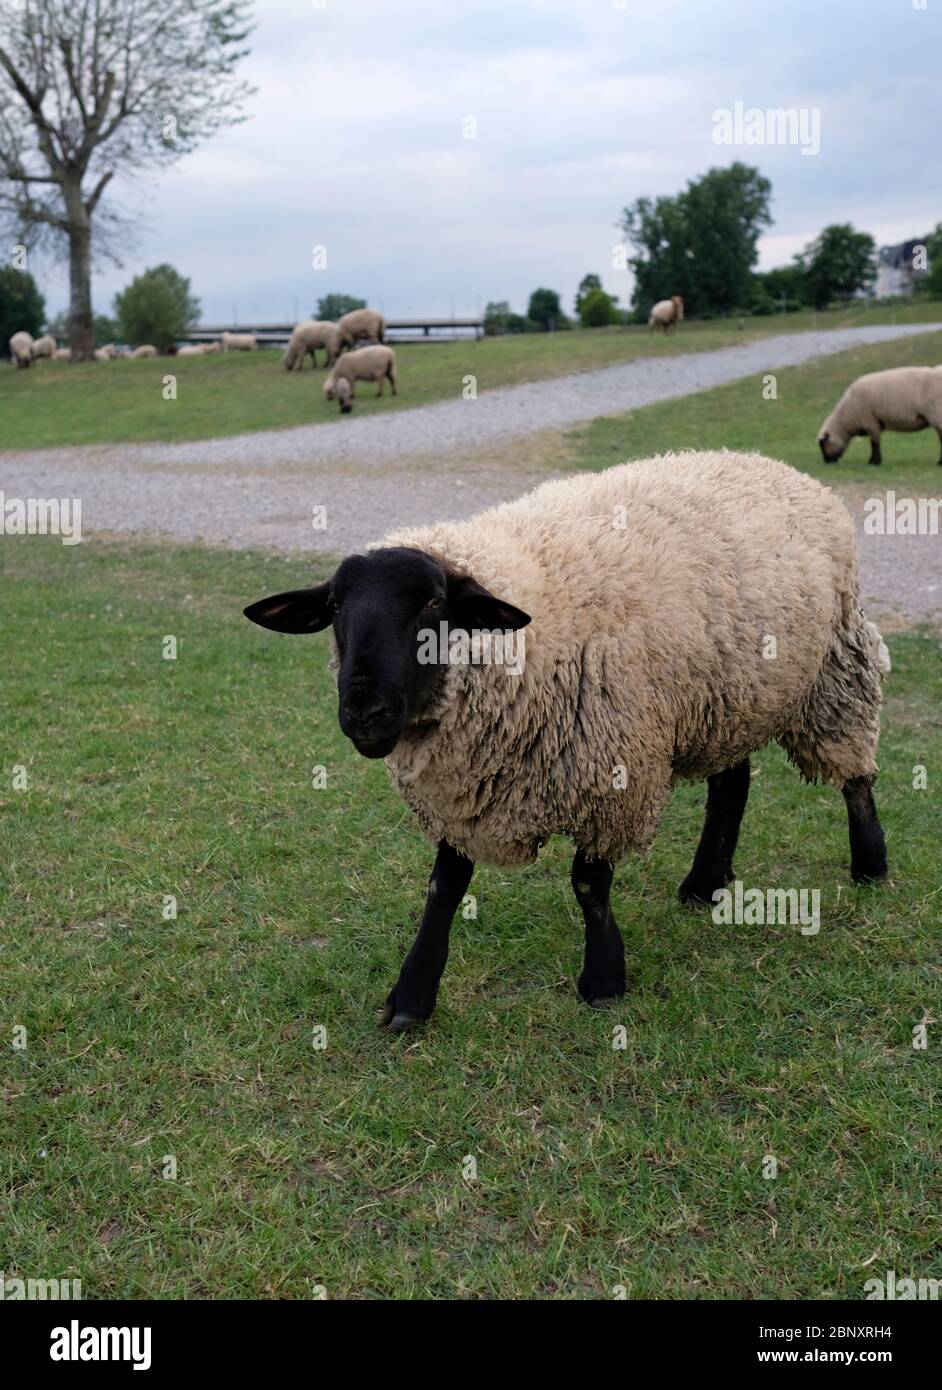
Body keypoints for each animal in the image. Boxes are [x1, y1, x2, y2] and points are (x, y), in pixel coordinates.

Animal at [244, 449, 889, 1031]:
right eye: (334, 607)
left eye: (432, 601)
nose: (363, 711)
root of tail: (778, 466)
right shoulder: (466, 782)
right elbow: (443, 886)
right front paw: (411, 997)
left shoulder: (612, 771)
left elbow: (587, 883)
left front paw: (603, 980)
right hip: (723, 699)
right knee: (732, 784)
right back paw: (704, 883)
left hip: (835, 666)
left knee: (853, 773)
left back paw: (871, 864)